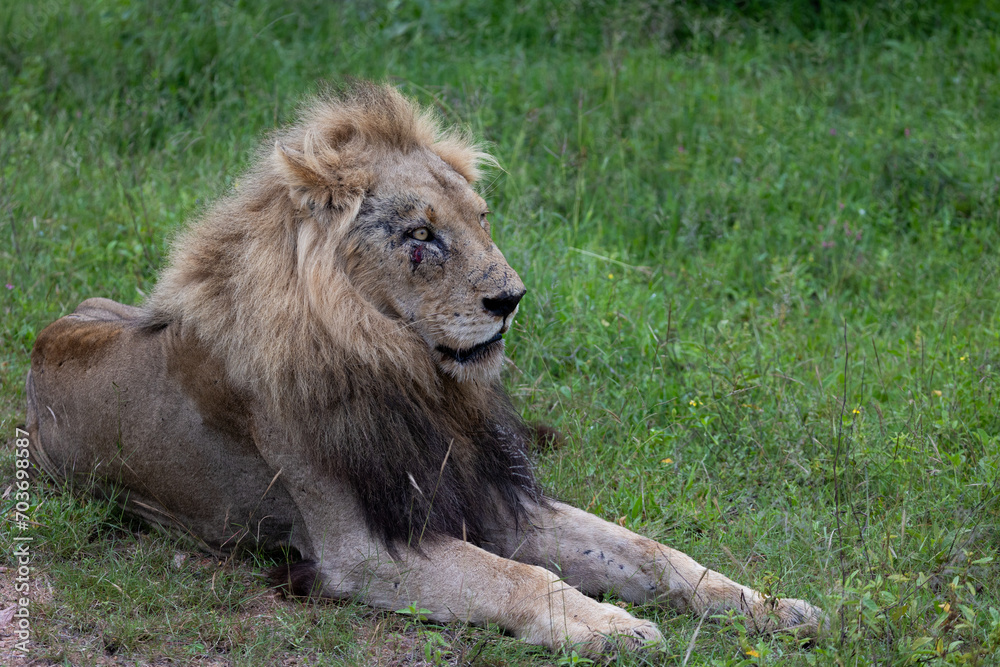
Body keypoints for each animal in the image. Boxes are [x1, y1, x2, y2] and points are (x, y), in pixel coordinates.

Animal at [26, 82, 822, 656]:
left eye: (482, 218)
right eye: (421, 236)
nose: (511, 298)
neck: (419, 381)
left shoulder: (493, 500)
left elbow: (654, 554)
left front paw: (770, 606)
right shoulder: (361, 548)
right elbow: (518, 576)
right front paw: (608, 626)